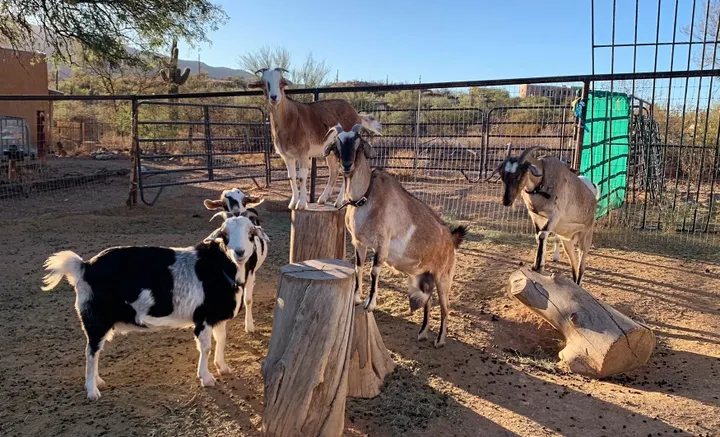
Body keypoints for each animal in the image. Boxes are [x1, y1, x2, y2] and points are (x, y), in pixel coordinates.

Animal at [40, 214, 270, 400]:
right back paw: (92, 391)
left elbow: (221, 340)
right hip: (96, 318)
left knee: (95, 350)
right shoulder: (202, 318)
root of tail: (84, 267)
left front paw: (223, 367)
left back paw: (98, 382)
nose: (239, 252)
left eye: (251, 233)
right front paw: (206, 378)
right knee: (91, 351)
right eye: (225, 234)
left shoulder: (217, 316)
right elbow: (205, 347)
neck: (219, 267)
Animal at [248, 67, 381, 210]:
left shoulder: (303, 153)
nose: (274, 97)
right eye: (264, 83)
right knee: (334, 172)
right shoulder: (287, 156)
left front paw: (301, 204)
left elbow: (302, 176)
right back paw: (322, 199)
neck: (289, 119)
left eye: (281, 82)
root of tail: (356, 114)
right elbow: (291, 177)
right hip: (331, 152)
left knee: (344, 171)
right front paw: (293, 203)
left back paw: (338, 202)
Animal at [321, 123, 467, 348]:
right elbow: (358, 268)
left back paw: (440, 339)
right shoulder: (359, 242)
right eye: (337, 145)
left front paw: (369, 304)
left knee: (445, 306)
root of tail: (451, 240)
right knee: (428, 300)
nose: (346, 165)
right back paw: (422, 333)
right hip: (425, 276)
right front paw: (356, 298)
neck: (365, 197)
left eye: (358, 143)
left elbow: (374, 270)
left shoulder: (383, 242)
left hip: (444, 277)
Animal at [488, 144, 598, 285]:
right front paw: (537, 266)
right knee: (573, 263)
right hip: (568, 241)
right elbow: (538, 236)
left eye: (520, 175)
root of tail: (593, 199)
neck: (542, 183)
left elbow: (542, 235)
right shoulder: (536, 216)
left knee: (581, 266)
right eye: (502, 175)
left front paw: (538, 266)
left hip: (586, 236)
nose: (506, 201)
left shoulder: (555, 215)